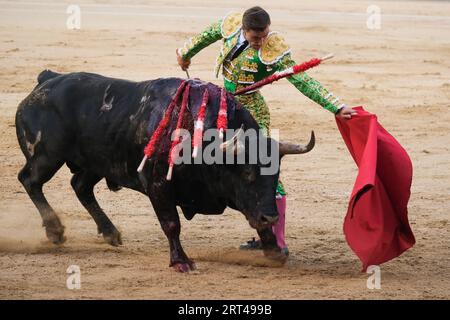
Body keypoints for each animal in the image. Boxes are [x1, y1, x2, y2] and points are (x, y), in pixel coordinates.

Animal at [15, 70, 314, 272]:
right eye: (248, 173)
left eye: (275, 176)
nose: (271, 217)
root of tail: (47, 80)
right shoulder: (157, 184)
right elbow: (171, 223)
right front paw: (181, 262)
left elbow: (254, 217)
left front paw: (274, 250)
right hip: (47, 156)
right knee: (30, 180)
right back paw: (55, 230)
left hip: (98, 161)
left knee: (80, 185)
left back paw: (110, 232)